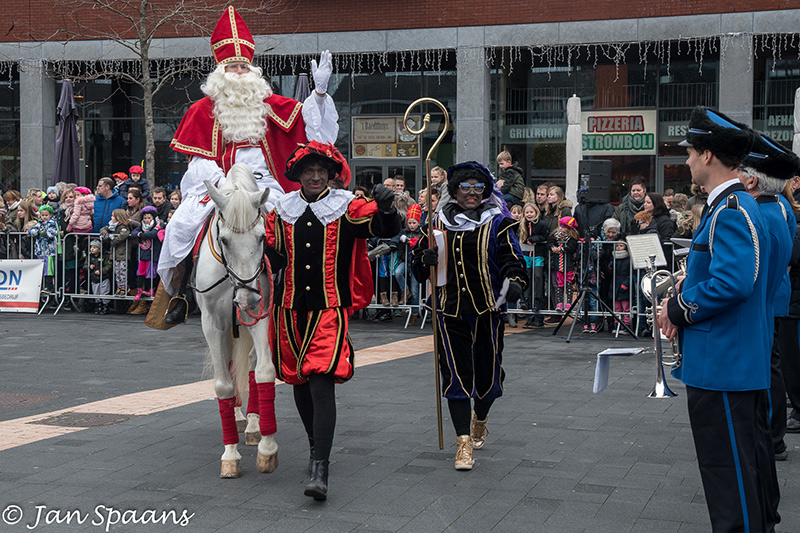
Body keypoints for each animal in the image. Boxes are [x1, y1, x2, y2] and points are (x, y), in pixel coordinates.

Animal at [196, 162, 278, 478]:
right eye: (225, 240)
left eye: (262, 237)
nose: (247, 300)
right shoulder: (212, 323)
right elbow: (224, 385)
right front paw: (230, 455)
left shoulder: (260, 317)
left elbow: (265, 371)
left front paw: (267, 448)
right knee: (231, 368)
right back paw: (238, 416)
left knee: (252, 365)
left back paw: (254, 424)